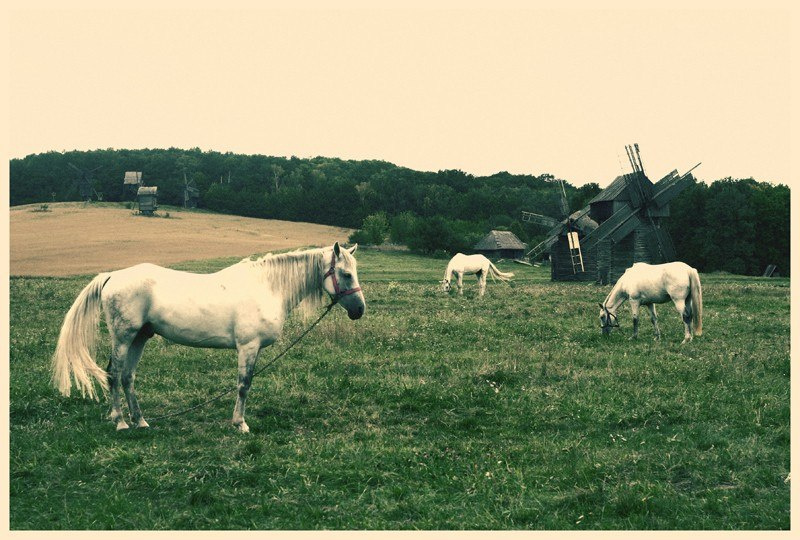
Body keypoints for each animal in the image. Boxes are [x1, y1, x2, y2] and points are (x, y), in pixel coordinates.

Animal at [51, 242, 365, 433]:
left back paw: (140, 421)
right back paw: (120, 422)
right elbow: (243, 385)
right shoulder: (248, 347)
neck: (267, 287)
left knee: (128, 377)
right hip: (123, 337)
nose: (359, 310)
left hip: (140, 337)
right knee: (114, 374)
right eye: (346, 274)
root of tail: (112, 276)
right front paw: (240, 424)